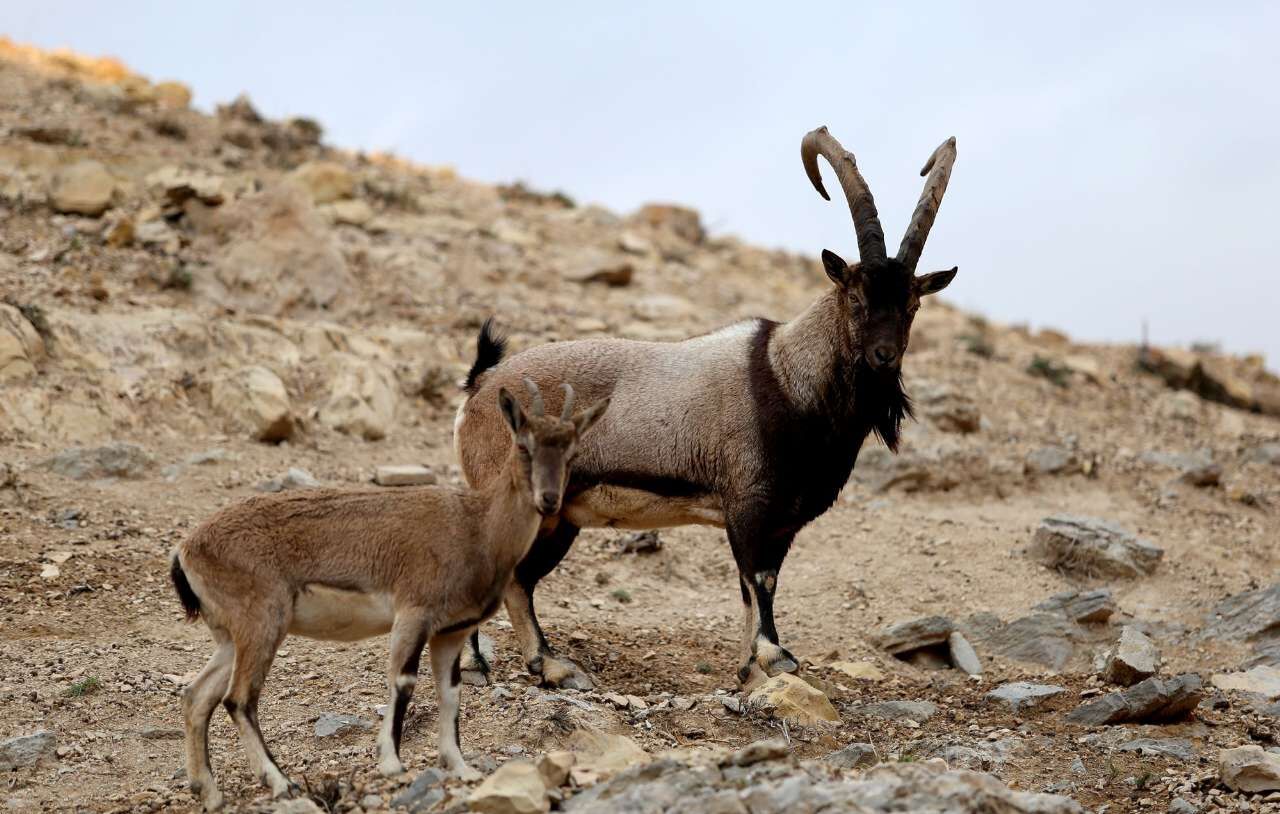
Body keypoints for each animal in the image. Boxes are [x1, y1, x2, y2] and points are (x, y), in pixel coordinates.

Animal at [171, 378, 609, 808]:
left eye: (571, 451)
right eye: (523, 445)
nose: (548, 500)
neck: (478, 528)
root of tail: (188, 550)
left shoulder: (451, 632)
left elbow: (450, 694)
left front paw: (461, 767)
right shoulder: (413, 612)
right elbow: (403, 681)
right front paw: (392, 763)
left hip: (232, 636)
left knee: (197, 696)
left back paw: (210, 792)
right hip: (262, 622)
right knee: (239, 698)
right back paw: (281, 783)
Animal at [455, 124, 957, 691]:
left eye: (911, 305)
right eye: (855, 298)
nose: (883, 357)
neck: (788, 377)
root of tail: (480, 386)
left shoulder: (779, 523)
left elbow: (754, 588)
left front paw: (749, 673)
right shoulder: (749, 507)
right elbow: (759, 583)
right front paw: (775, 659)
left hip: (561, 518)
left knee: (519, 580)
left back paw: (541, 663)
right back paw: (500, 665)